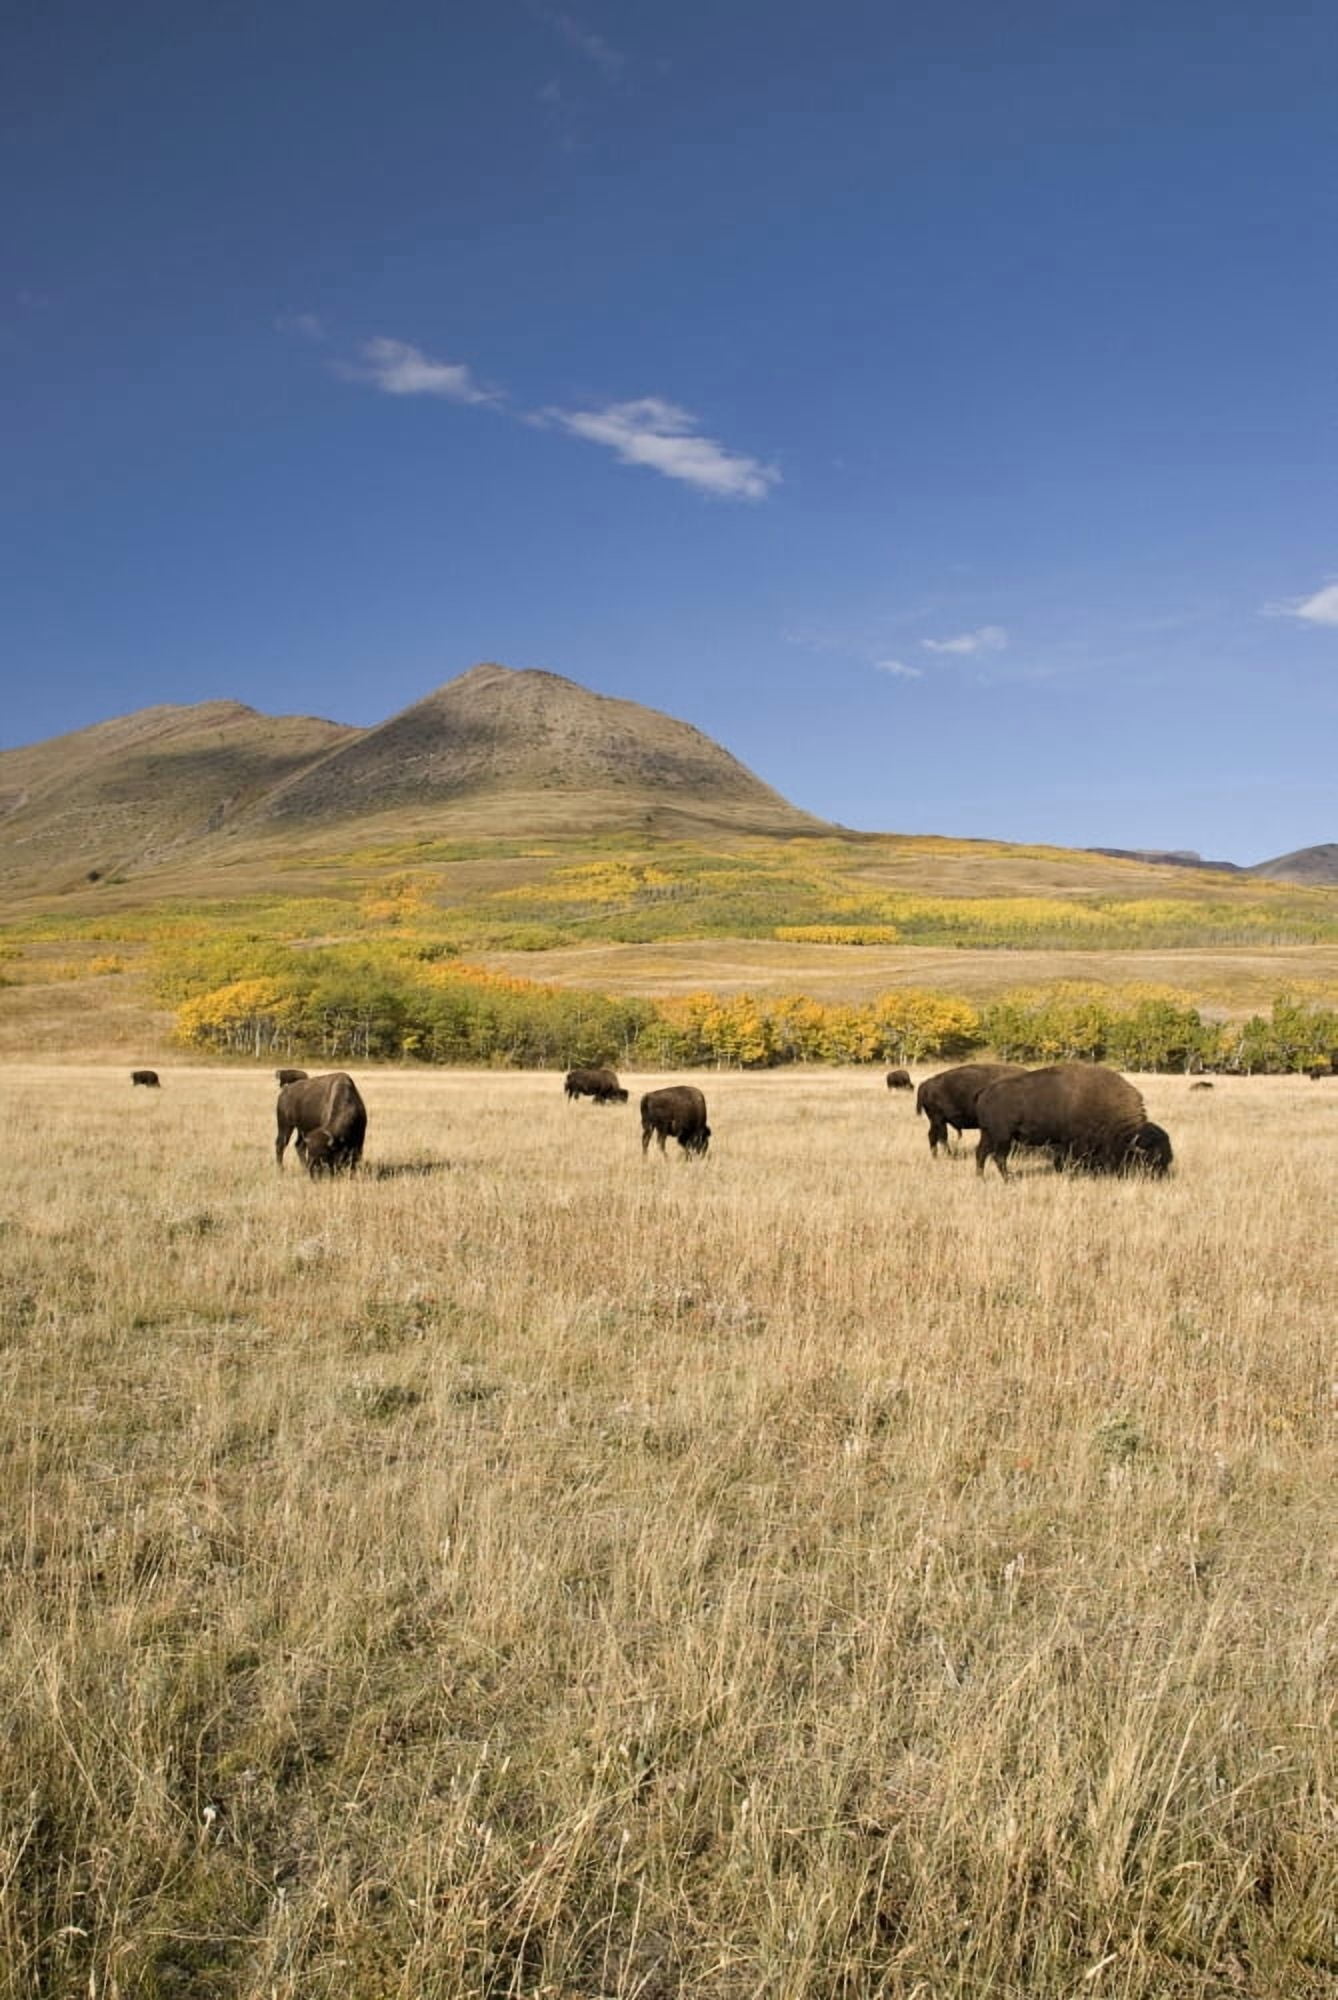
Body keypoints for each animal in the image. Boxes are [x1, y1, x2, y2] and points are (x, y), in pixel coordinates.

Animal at [975, 1063, 1173, 1180]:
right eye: (1152, 1159)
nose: (1160, 1177)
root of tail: (986, 1092)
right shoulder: (1074, 1144)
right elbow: (1068, 1161)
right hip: (1003, 1137)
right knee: (999, 1157)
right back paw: (1008, 1179)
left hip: (988, 1133)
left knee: (981, 1153)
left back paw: (981, 1177)